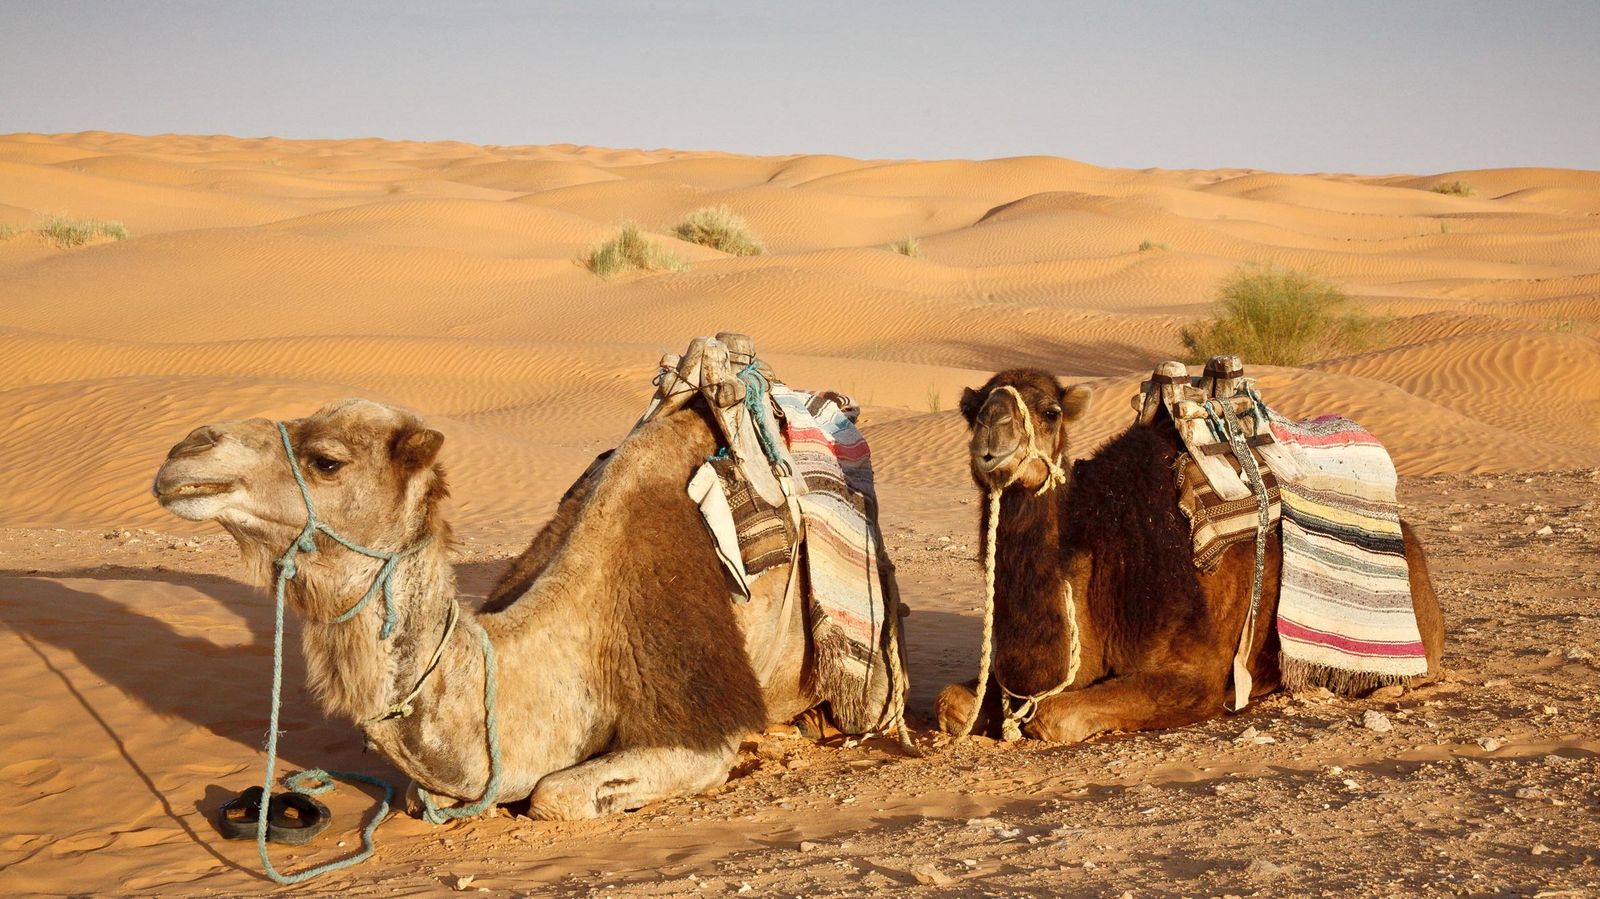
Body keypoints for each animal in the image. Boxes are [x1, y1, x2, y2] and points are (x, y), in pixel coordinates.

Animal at [935, 368, 1445, 743]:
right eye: (972, 411)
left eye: (1050, 411)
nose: (992, 435)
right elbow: (951, 703)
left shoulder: (1196, 677)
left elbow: (1053, 718)